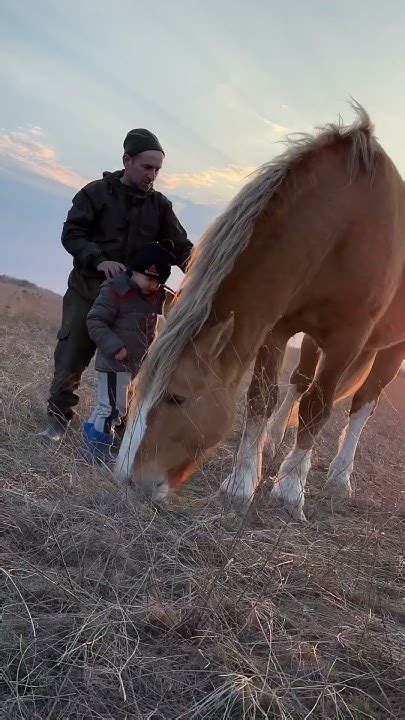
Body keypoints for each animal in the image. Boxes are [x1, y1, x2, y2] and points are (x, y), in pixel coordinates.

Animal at [113, 104, 404, 520]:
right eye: (135, 388)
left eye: (177, 398)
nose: (127, 479)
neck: (346, 223)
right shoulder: (276, 328)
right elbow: (261, 397)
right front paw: (241, 484)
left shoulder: (347, 340)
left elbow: (319, 407)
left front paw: (290, 491)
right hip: (312, 341)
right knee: (299, 382)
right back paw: (279, 438)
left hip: (389, 349)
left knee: (362, 402)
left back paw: (338, 477)